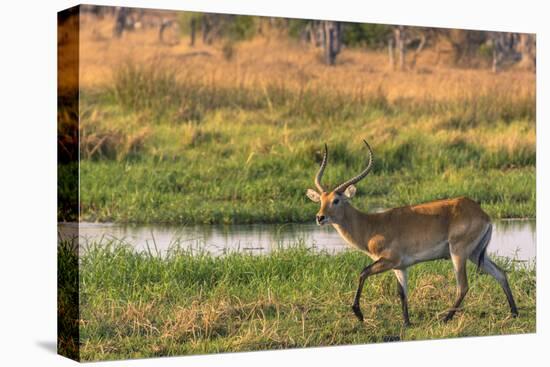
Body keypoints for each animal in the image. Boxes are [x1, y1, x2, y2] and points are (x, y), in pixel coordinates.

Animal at [308, 141, 520, 328]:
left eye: (336, 200)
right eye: (321, 200)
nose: (320, 217)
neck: (371, 226)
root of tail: (483, 214)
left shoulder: (389, 261)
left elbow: (363, 272)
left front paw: (358, 314)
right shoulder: (400, 267)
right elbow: (402, 293)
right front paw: (407, 323)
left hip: (458, 253)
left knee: (463, 286)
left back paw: (445, 319)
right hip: (475, 254)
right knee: (500, 273)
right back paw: (514, 313)